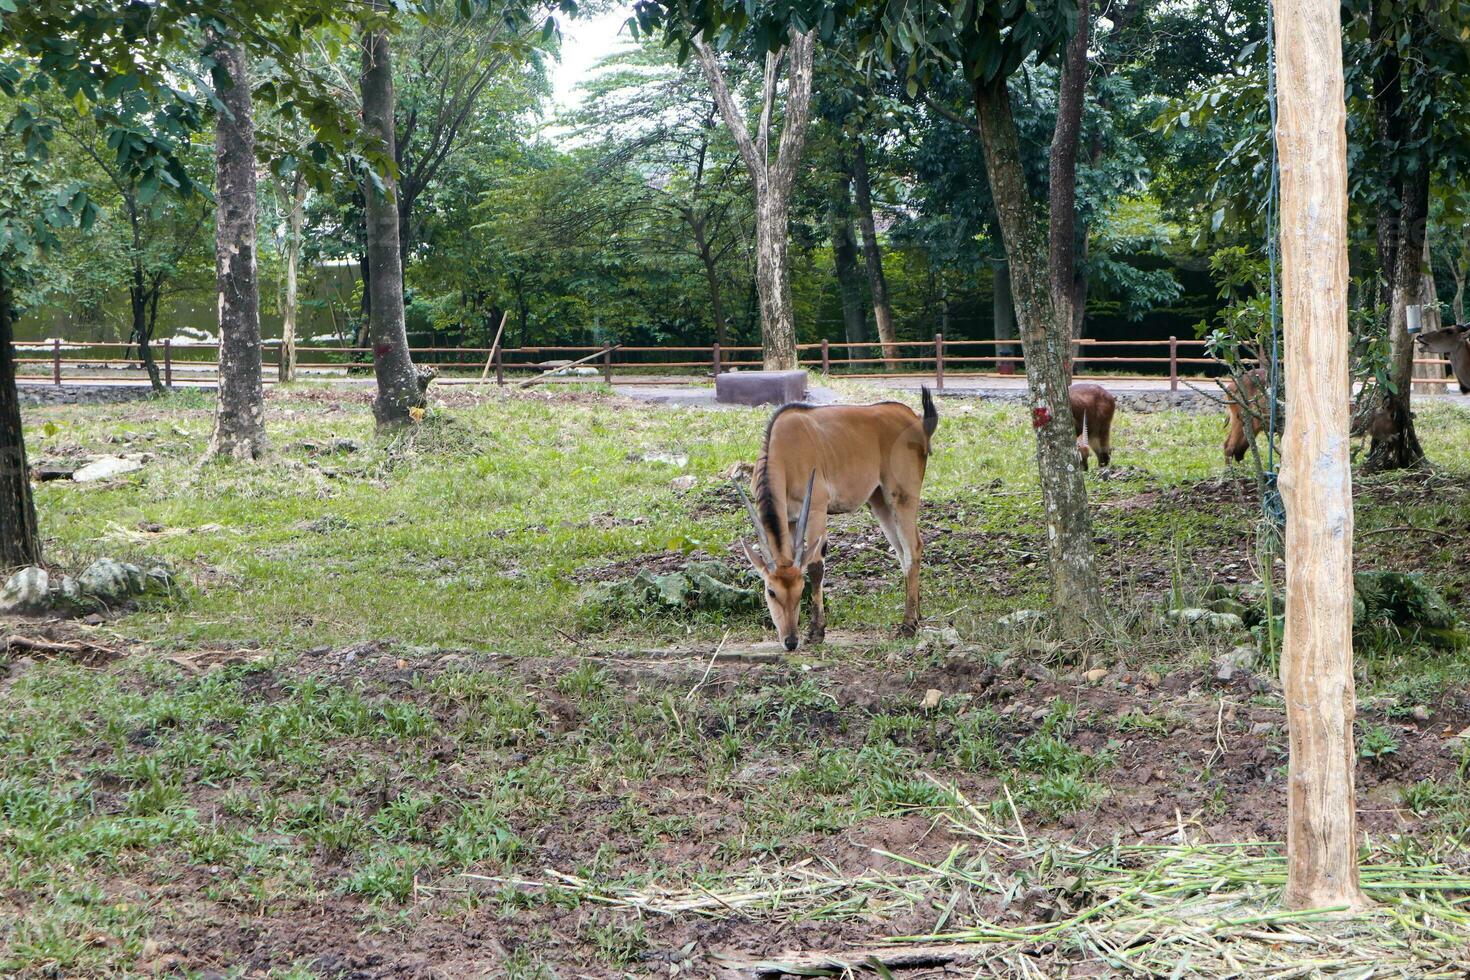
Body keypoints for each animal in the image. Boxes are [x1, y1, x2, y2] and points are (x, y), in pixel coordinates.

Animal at [735, 387, 940, 652]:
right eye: (771, 591)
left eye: (800, 589)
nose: (790, 641)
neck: (783, 447)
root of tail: (918, 422)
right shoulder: (790, 520)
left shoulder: (816, 509)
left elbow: (815, 567)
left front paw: (816, 632)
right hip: (879, 502)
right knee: (903, 553)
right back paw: (916, 617)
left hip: (902, 497)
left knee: (913, 547)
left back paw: (907, 626)